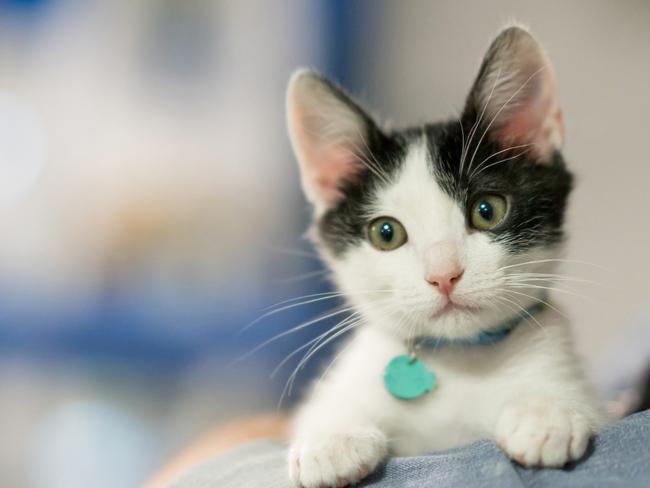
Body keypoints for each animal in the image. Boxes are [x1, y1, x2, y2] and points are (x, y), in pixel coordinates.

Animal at [284, 25, 604, 488]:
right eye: (386, 233)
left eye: (487, 210)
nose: (444, 275)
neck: (458, 361)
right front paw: (333, 438)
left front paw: (548, 413)